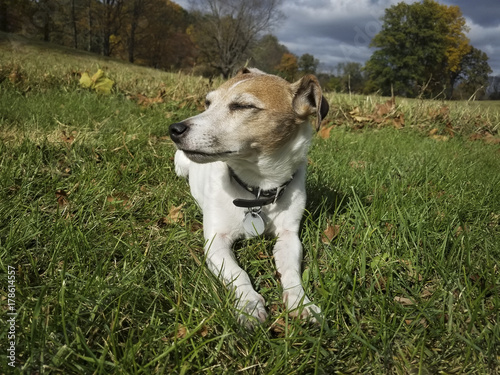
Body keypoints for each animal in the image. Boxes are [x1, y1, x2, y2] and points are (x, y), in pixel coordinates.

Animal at [170, 68, 330, 328]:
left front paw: (301, 302)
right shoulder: (216, 242)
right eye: (207, 103)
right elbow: (238, 273)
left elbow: (291, 272)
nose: (174, 129)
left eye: (243, 106)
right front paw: (249, 304)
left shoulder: (289, 237)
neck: (257, 189)